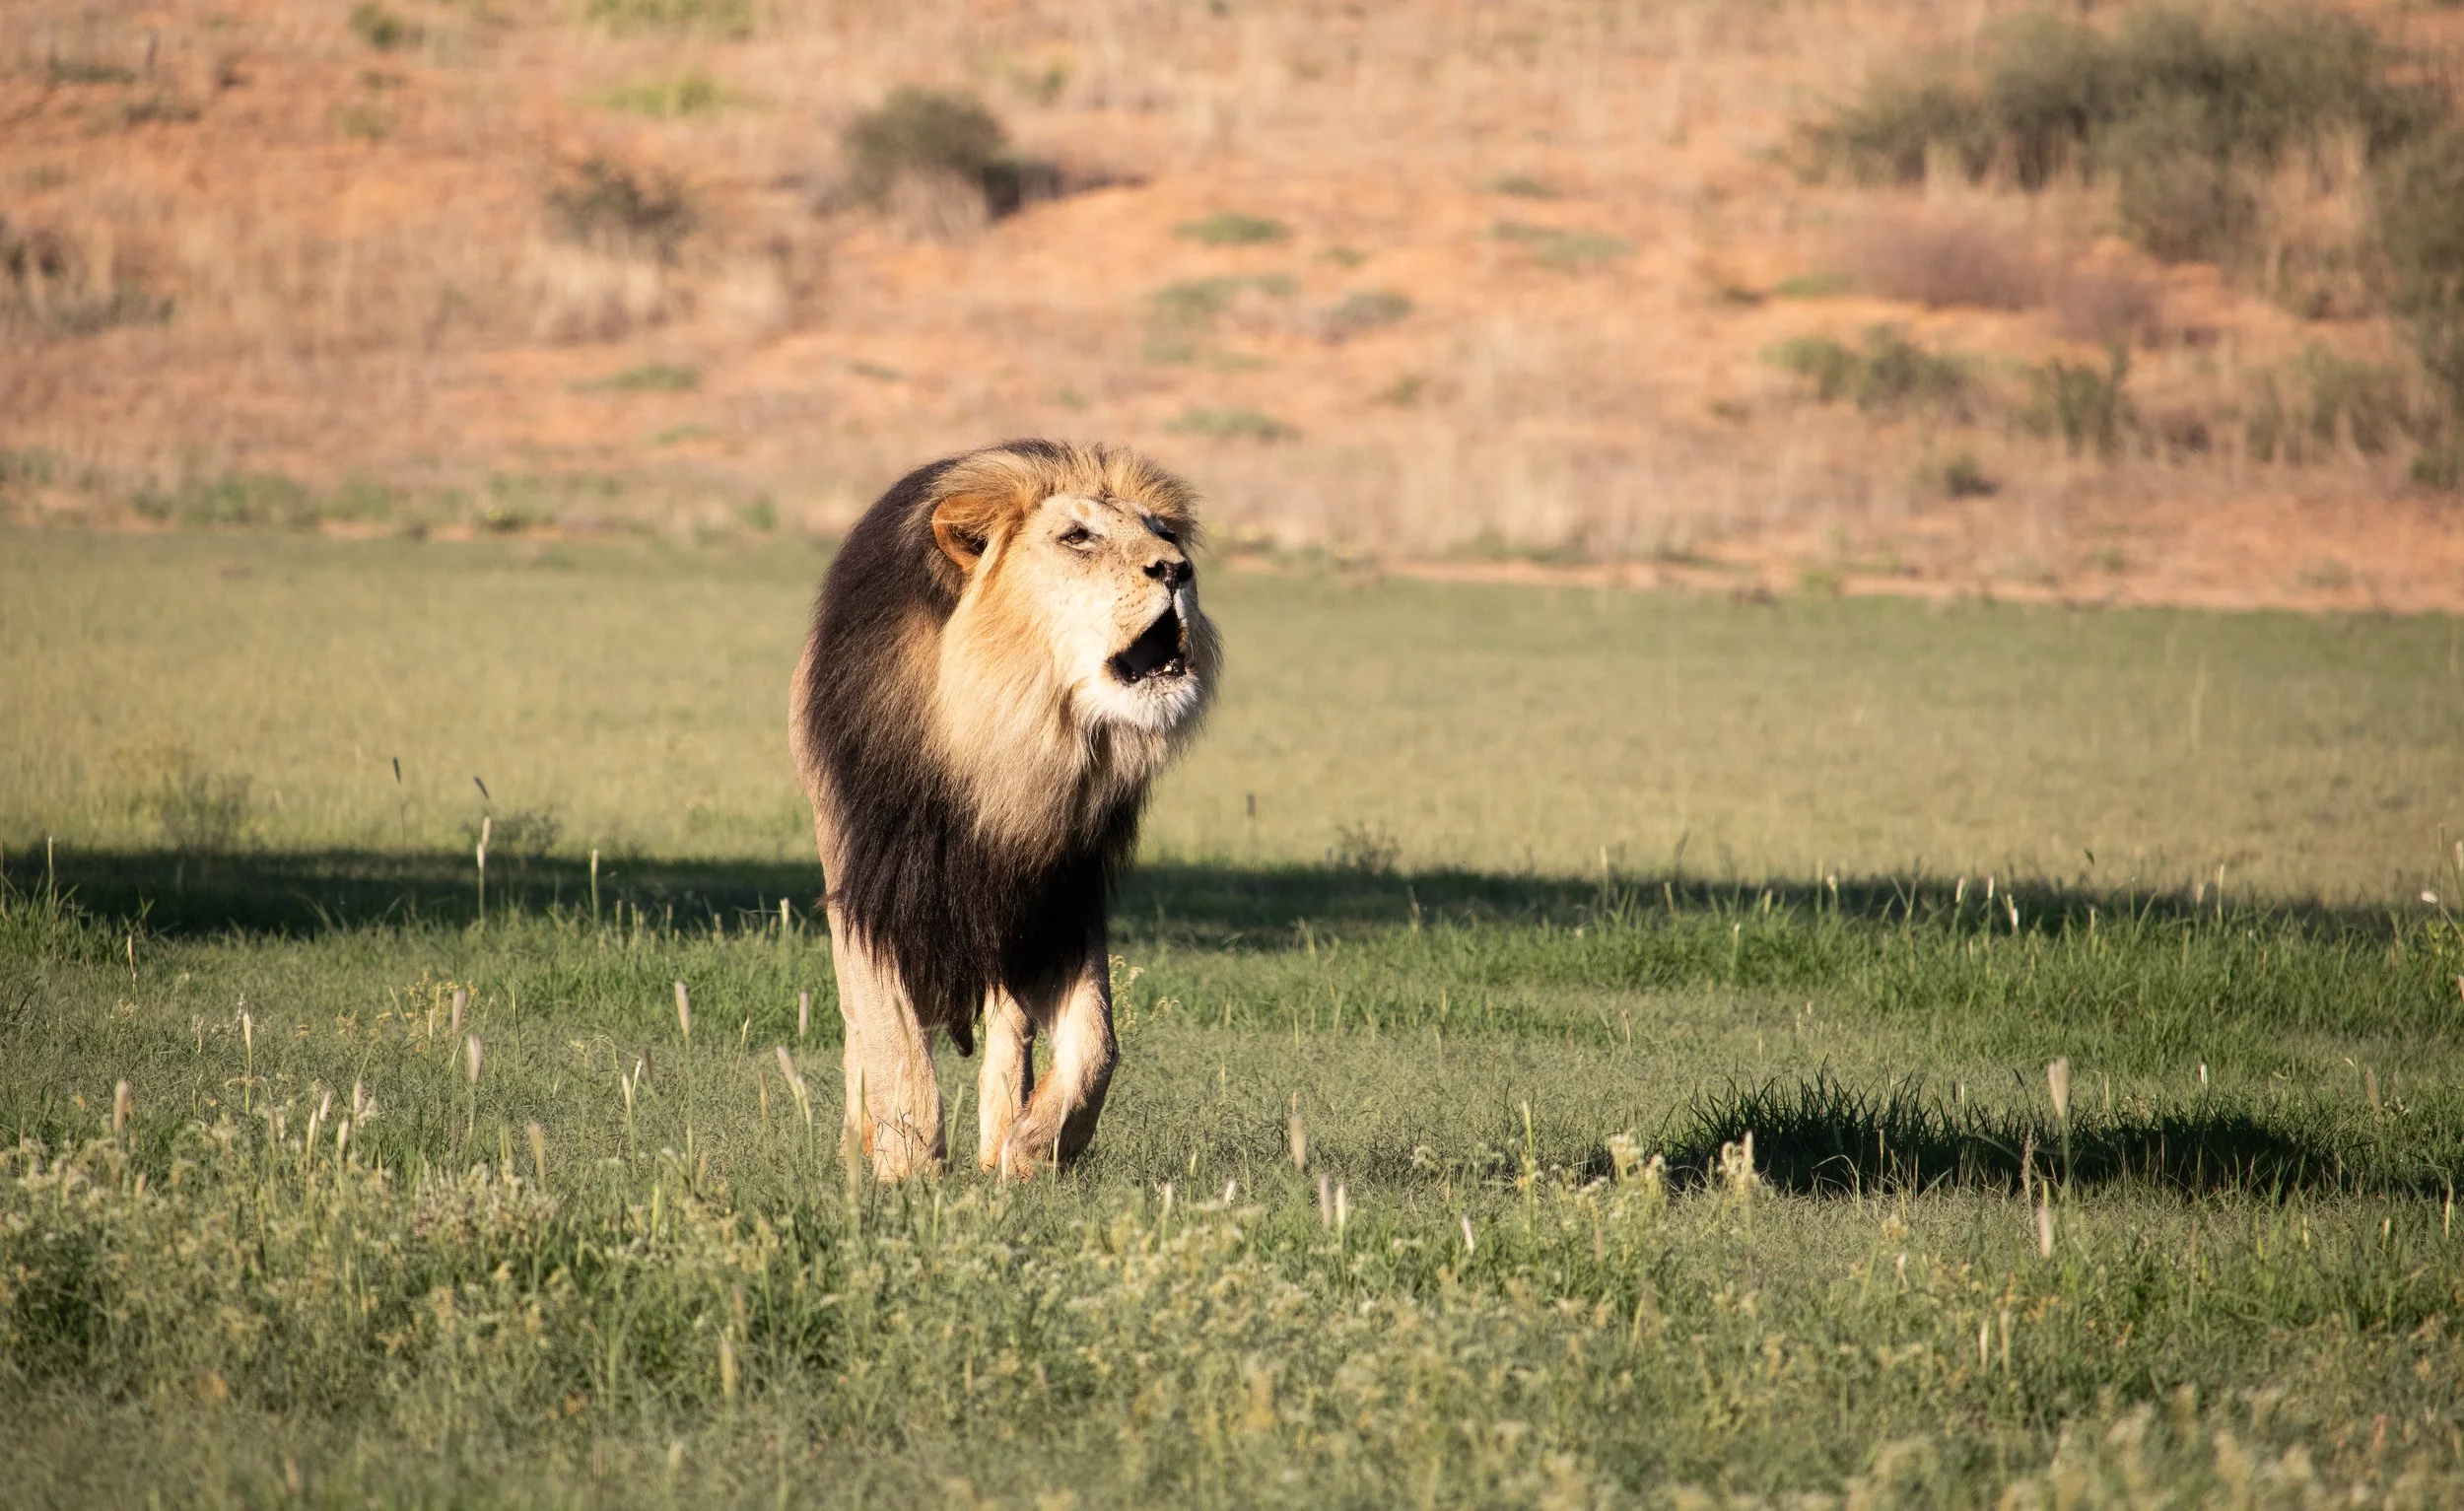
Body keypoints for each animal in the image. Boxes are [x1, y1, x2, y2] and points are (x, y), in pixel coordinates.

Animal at [790, 439, 1220, 1181]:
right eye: (1077, 536)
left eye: (1161, 531)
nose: (1177, 569)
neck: (1009, 740)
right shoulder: (872, 890)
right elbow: (892, 1043)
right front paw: (907, 1173)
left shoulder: (1059, 903)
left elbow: (1097, 1044)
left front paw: (1034, 1149)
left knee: (1009, 1035)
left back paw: (998, 1141)